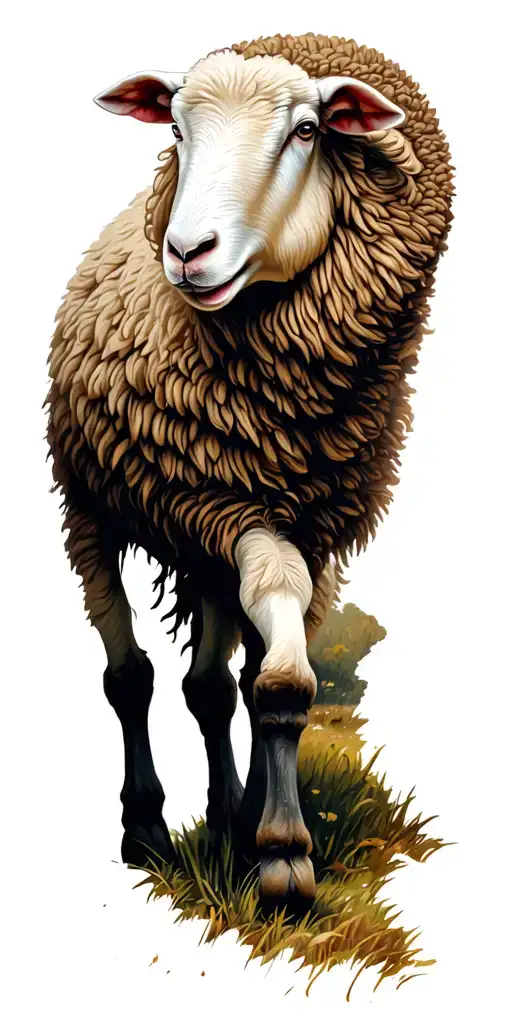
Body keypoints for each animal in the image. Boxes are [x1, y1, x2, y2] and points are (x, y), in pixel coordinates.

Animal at [46, 32, 453, 908]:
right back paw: (146, 828)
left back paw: (225, 817)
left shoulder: (305, 528)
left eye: (307, 131)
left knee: (208, 688)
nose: (186, 253)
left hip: (203, 541)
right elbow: (258, 681)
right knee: (129, 678)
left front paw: (269, 841)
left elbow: (278, 683)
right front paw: (280, 854)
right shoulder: (236, 509)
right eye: (175, 129)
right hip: (91, 508)